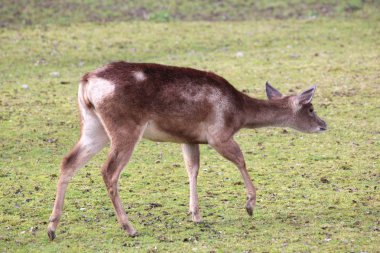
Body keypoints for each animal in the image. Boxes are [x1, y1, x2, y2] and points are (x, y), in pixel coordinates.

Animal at [47, 60, 326, 239]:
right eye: (311, 108)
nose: (324, 124)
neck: (239, 113)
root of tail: (87, 81)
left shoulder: (189, 138)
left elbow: (192, 169)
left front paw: (196, 215)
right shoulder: (219, 135)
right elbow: (241, 160)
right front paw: (250, 206)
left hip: (94, 127)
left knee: (68, 161)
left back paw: (51, 229)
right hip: (124, 127)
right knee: (109, 171)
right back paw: (130, 228)